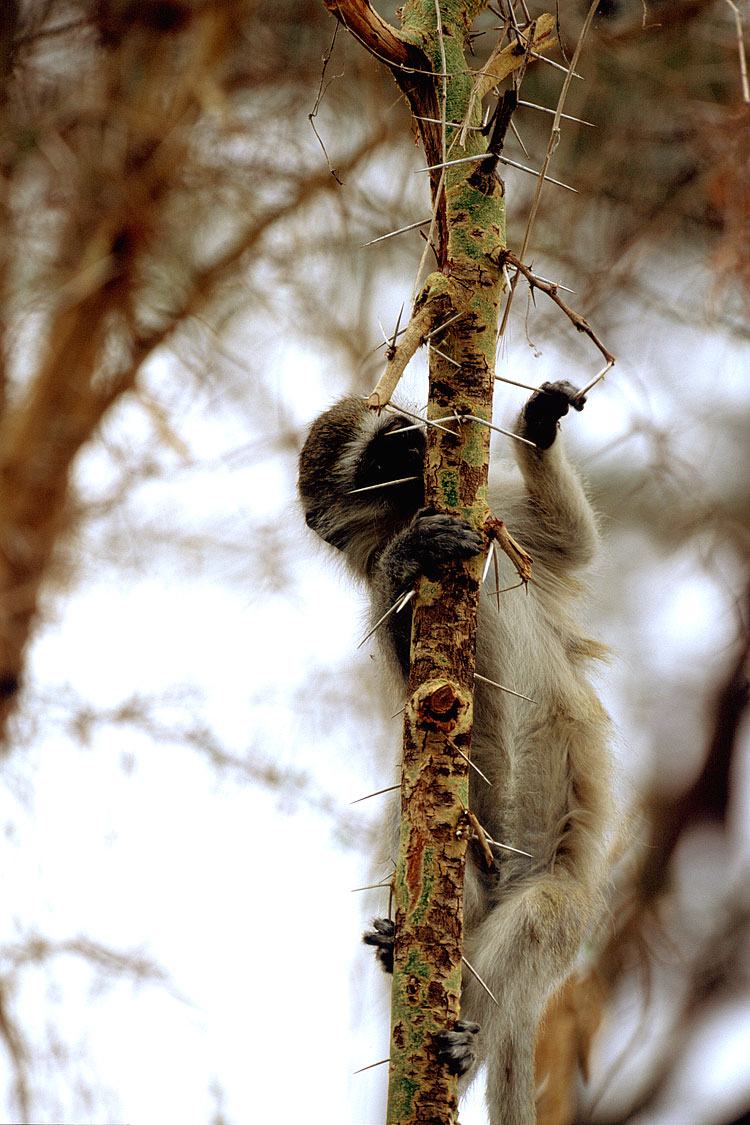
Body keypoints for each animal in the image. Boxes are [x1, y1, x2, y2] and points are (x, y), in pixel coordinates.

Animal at [296, 384, 611, 1125]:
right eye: (382, 456)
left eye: (400, 426)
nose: (418, 440)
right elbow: (410, 670)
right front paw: (407, 556)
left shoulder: (500, 518)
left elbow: (572, 543)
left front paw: (539, 424)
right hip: (471, 861)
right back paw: (416, 980)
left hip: (563, 887)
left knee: (533, 923)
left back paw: (466, 1039)